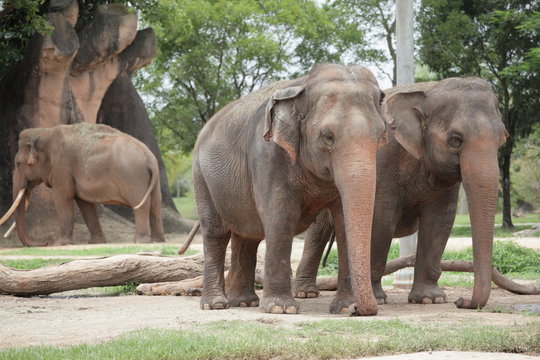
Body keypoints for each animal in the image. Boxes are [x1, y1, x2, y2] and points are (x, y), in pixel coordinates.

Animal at [192, 63, 386, 316]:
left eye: (381, 136)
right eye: (327, 137)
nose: (361, 310)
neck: (304, 83)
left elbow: (343, 221)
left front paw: (345, 308)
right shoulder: (268, 155)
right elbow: (280, 217)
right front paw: (281, 309)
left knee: (247, 235)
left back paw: (243, 302)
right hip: (201, 177)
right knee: (216, 232)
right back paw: (215, 304)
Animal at [294, 77, 508, 310]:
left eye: (502, 139)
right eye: (455, 139)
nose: (461, 301)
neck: (427, 90)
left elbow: (440, 222)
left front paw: (430, 299)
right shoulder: (383, 160)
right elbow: (380, 219)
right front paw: (378, 298)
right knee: (318, 233)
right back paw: (305, 293)